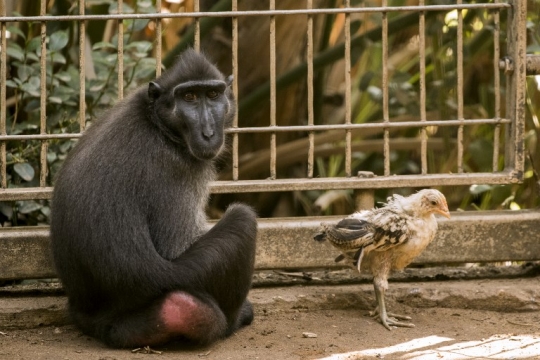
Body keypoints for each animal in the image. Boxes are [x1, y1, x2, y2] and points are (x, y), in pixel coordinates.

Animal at [50, 49, 258, 348]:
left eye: (213, 95)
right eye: (189, 97)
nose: (208, 133)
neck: (158, 123)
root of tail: (98, 323)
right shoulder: (177, 169)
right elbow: (176, 248)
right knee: (243, 219)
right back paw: (234, 320)